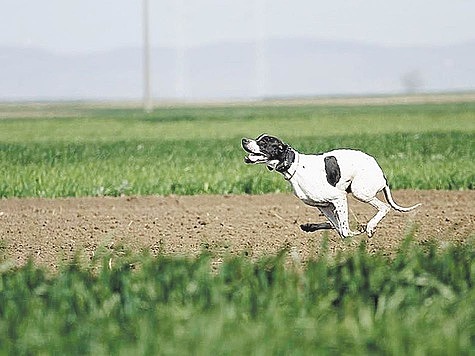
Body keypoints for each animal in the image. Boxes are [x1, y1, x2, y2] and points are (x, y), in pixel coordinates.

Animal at [244, 135, 422, 238]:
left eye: (264, 141)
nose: (244, 140)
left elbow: (345, 231)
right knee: (336, 225)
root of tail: (381, 173)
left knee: (384, 207)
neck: (294, 165)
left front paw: (358, 231)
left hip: (360, 192)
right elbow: (339, 228)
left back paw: (370, 227)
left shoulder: (338, 198)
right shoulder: (324, 206)